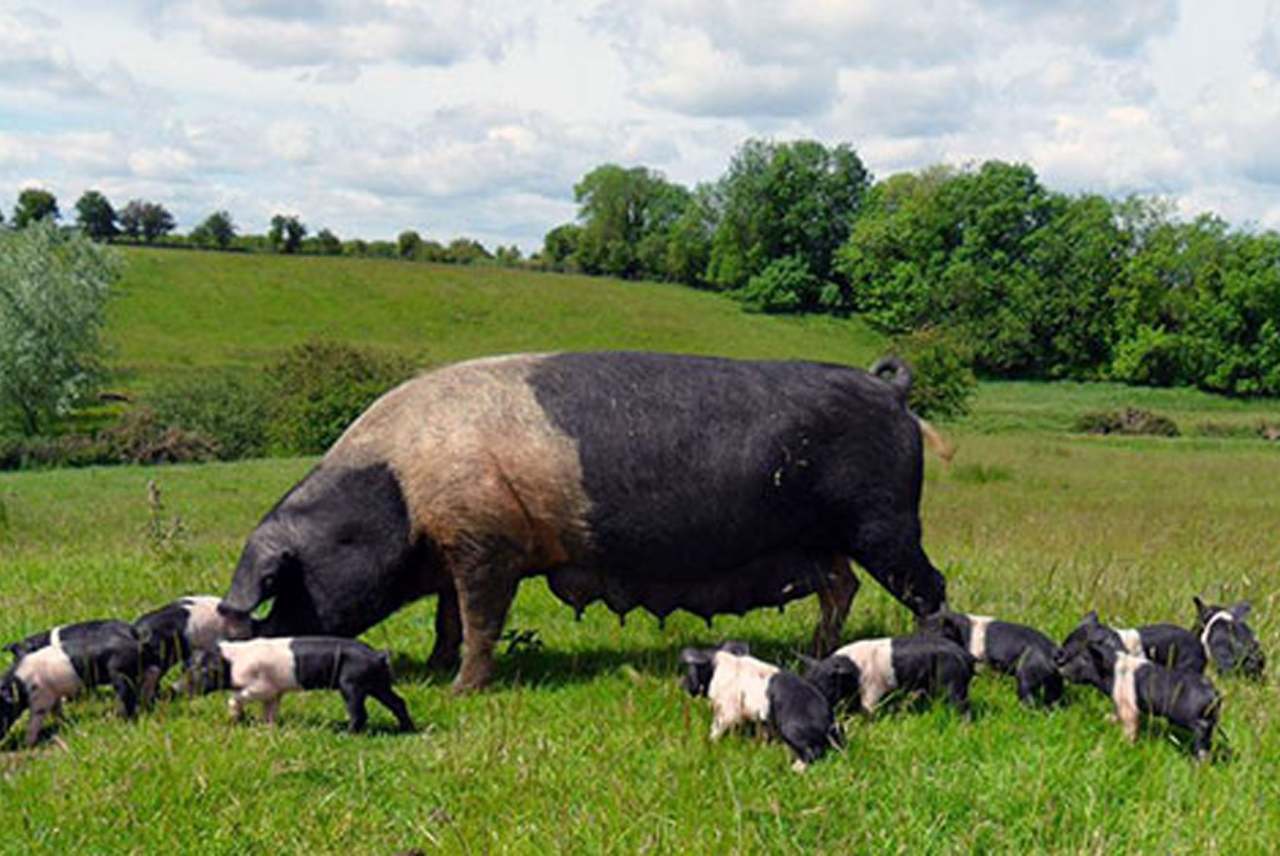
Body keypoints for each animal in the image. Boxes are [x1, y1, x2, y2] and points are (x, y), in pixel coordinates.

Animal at [0, 621, 149, 747]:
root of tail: (134, 635)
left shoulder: (41, 697)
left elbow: (36, 719)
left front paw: (27, 745)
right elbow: (57, 710)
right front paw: (63, 722)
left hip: (120, 673)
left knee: (125, 697)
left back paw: (119, 721)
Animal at [186, 637, 415, 733]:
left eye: (203, 670)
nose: (179, 689)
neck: (232, 661)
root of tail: (379, 655)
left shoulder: (262, 687)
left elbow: (236, 697)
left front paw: (236, 718)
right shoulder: (275, 693)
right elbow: (270, 711)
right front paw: (267, 727)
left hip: (352, 684)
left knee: (359, 713)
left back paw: (345, 733)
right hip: (378, 684)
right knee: (398, 702)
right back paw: (406, 729)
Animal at [678, 642, 843, 771]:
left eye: (691, 669)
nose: (681, 685)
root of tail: (829, 722)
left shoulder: (727, 708)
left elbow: (717, 727)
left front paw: (709, 742)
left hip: (792, 728)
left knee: (813, 752)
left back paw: (794, 768)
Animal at [801, 635, 974, 715]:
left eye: (824, 683)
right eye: (808, 680)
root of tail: (965, 655)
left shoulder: (872, 688)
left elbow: (868, 708)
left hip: (953, 680)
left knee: (961, 705)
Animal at [1059, 624, 1220, 759]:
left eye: (1084, 659)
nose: (1060, 665)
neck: (1113, 672)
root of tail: (1214, 695)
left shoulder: (1128, 705)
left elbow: (1130, 724)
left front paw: (1125, 743)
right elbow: (1116, 714)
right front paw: (1108, 719)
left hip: (1193, 718)